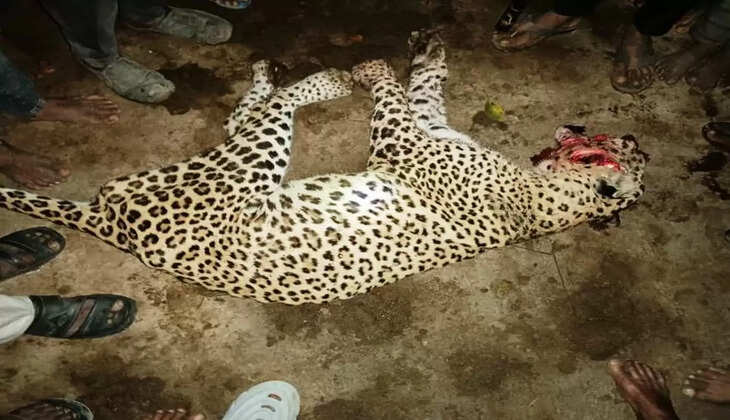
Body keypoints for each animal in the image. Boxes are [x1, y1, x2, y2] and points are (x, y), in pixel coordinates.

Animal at [0, 30, 648, 305]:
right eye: (625, 141)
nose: (638, 138)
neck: (547, 196)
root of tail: (109, 224)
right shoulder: (430, 128)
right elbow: (424, 90)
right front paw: (428, 51)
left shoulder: (403, 147)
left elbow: (391, 98)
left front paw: (373, 69)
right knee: (246, 113)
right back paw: (268, 69)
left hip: (242, 168)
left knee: (266, 115)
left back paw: (324, 80)